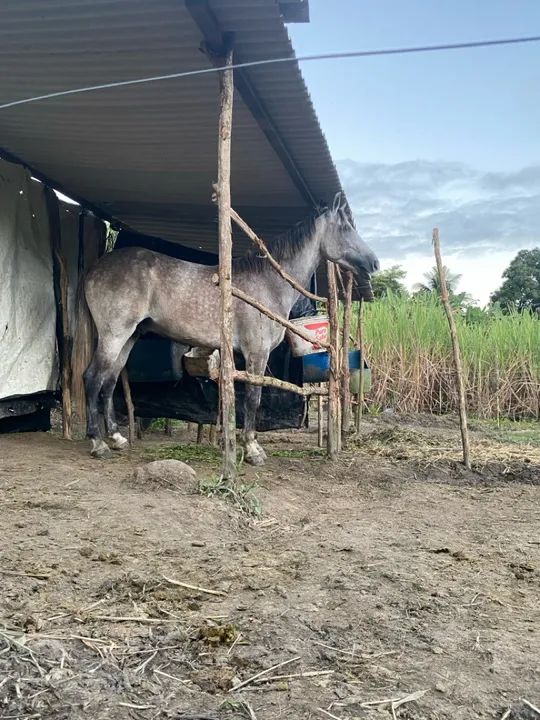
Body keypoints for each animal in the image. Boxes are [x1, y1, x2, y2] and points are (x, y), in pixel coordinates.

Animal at [77, 195, 379, 464]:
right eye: (345, 227)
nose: (374, 263)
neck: (267, 285)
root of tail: (95, 270)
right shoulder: (256, 353)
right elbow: (254, 399)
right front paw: (252, 450)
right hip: (114, 334)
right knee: (92, 378)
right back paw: (98, 443)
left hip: (129, 337)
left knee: (109, 381)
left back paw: (116, 438)